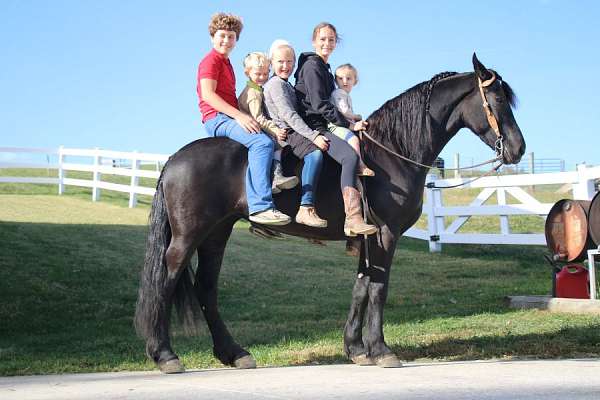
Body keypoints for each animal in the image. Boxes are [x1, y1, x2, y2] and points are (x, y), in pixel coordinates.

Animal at [135, 54, 524, 372]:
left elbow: (361, 286)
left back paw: (234, 353)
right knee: (165, 282)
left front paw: (356, 348)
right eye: (497, 99)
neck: (390, 153)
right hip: (188, 236)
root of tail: (174, 159)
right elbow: (378, 288)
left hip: (216, 233)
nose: (518, 148)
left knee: (206, 288)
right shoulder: (386, 234)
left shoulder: (367, 235)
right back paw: (165, 354)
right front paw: (381, 349)